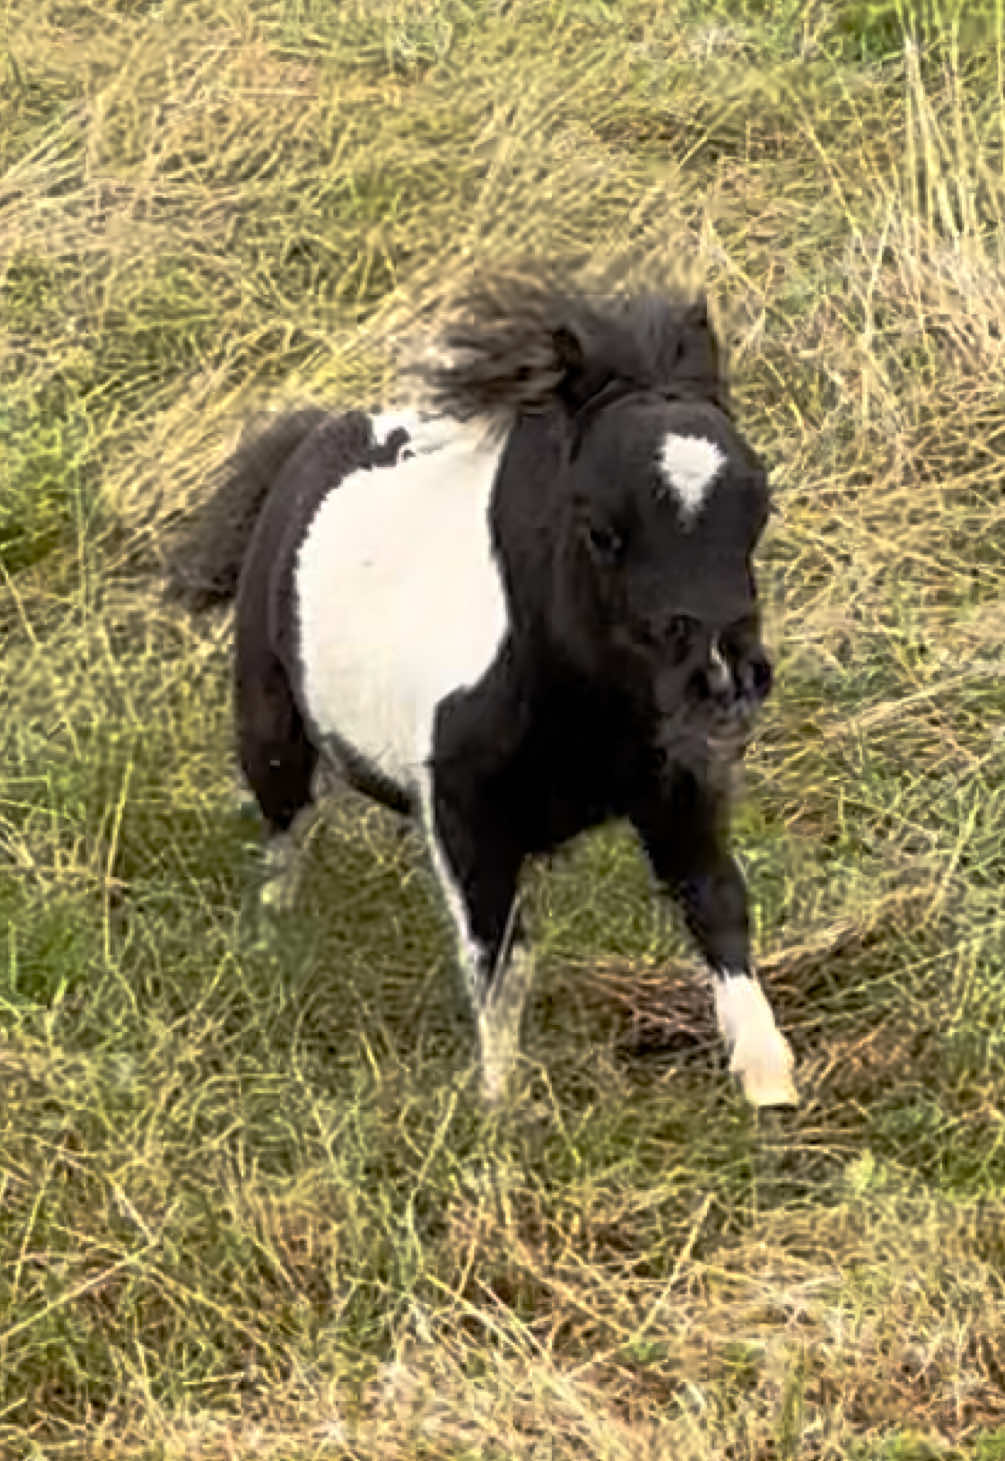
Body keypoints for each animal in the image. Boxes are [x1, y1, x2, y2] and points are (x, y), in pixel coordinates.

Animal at [174, 274, 800, 1104]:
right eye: (601, 530)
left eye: (757, 512)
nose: (724, 679)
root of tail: (305, 449)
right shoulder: (466, 815)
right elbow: (500, 958)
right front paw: (500, 1108)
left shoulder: (677, 784)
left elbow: (717, 904)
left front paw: (770, 1085)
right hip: (272, 727)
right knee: (285, 830)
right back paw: (269, 942)